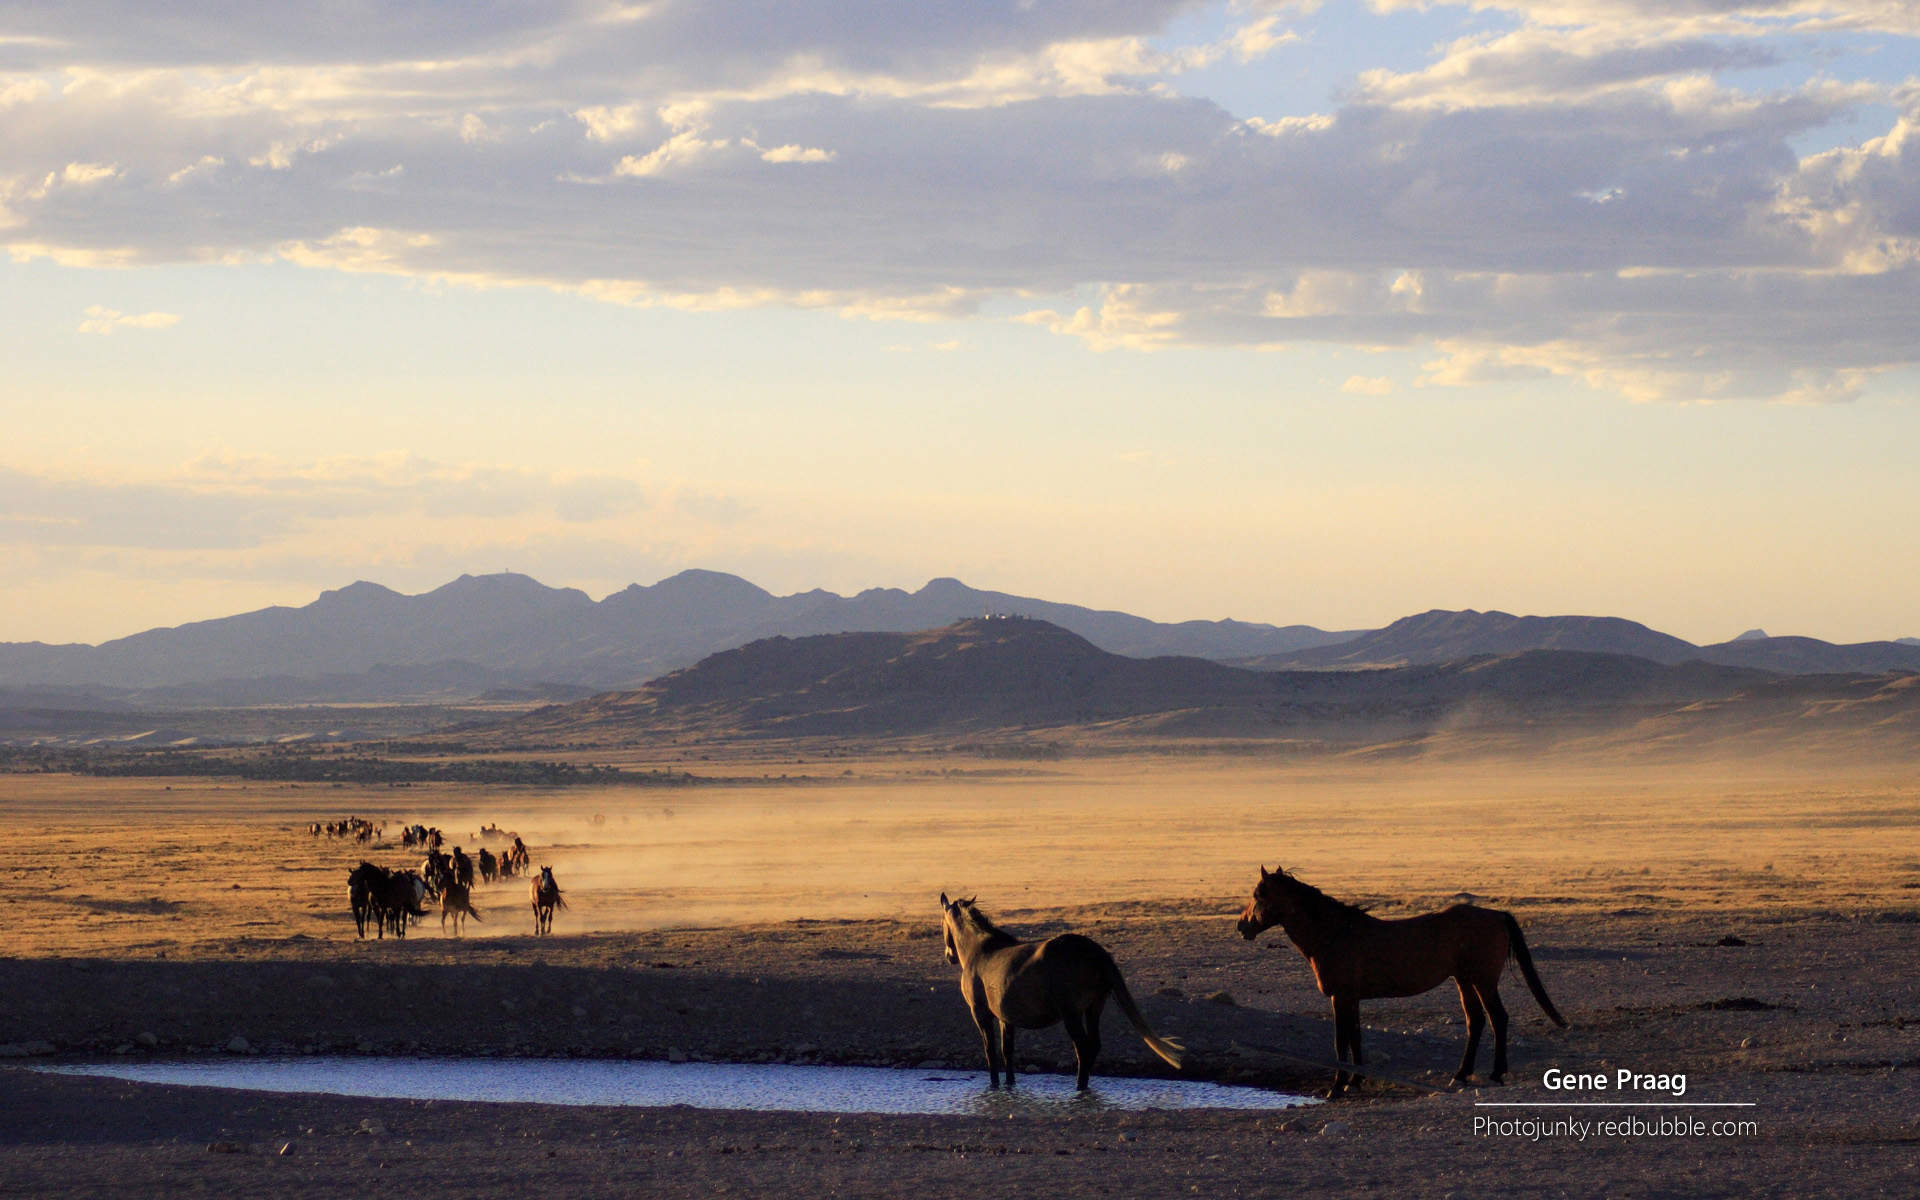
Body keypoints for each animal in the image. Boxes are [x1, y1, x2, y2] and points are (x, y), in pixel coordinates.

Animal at [939, 894, 1184, 1090]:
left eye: (942, 924)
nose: (949, 957)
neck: (981, 951)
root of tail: (1095, 952)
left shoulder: (980, 1013)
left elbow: (990, 1051)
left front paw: (994, 1085)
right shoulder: (1005, 1018)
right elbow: (1007, 1051)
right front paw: (1010, 1085)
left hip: (1071, 1014)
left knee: (1083, 1048)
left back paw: (1079, 1087)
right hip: (1093, 1008)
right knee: (1093, 1045)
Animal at [1237, 865, 1567, 1098]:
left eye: (1258, 896)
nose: (1241, 926)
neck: (1335, 935)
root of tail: (1497, 915)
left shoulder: (1340, 997)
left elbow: (1340, 1042)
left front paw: (1337, 1086)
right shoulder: (1351, 998)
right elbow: (1356, 1038)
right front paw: (1356, 1080)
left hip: (1483, 980)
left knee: (1497, 1018)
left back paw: (1496, 1073)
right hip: (1464, 980)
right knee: (1475, 1021)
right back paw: (1460, 1074)